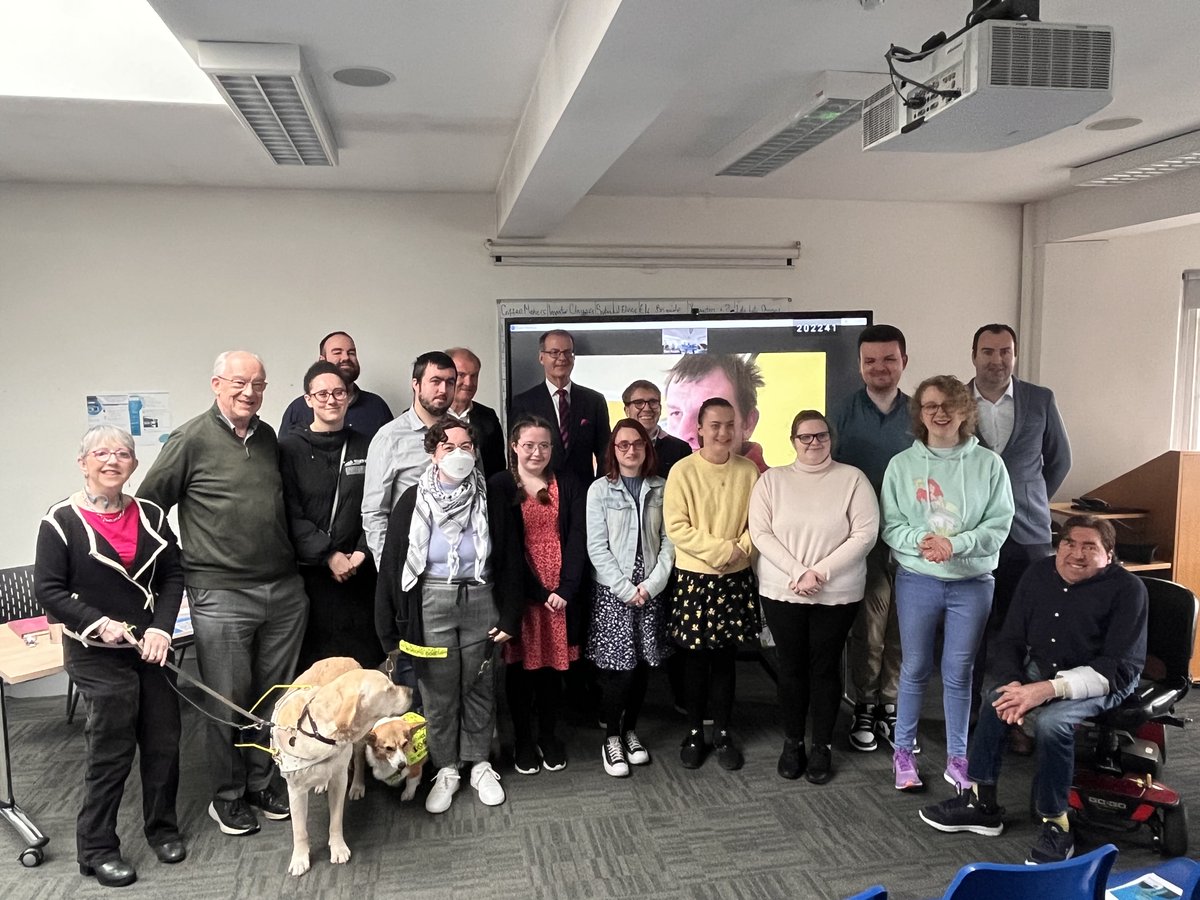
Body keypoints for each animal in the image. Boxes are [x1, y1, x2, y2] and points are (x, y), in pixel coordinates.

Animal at [274, 657, 415, 878]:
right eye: (389, 689)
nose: (411, 691)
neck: (317, 731)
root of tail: (344, 658)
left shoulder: (339, 778)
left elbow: (336, 820)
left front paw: (338, 848)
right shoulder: (295, 790)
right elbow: (299, 830)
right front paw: (299, 859)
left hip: (359, 741)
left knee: (358, 759)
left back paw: (357, 785)